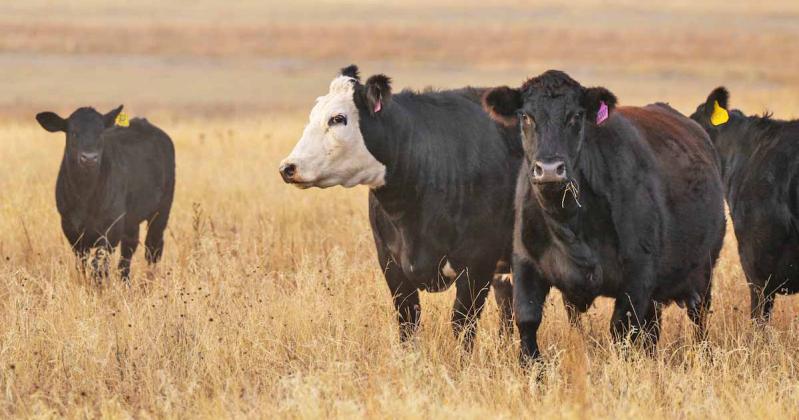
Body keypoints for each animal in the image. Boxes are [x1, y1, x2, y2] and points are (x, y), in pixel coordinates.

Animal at [35, 106, 175, 281]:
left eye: (100, 133)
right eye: (73, 133)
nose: (89, 158)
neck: (85, 195)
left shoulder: (112, 227)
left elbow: (99, 264)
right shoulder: (70, 227)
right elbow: (82, 263)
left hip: (162, 209)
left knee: (153, 247)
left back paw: (149, 278)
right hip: (131, 218)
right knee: (129, 247)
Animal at [279, 65, 522, 349]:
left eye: (338, 118)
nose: (288, 167)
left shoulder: (478, 263)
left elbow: (462, 327)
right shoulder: (391, 265)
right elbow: (408, 324)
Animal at [482, 70, 726, 363]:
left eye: (576, 115)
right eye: (526, 116)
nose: (550, 169)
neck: (569, 223)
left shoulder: (637, 274)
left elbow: (622, 329)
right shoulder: (525, 263)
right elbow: (527, 320)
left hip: (703, 272)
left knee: (697, 320)